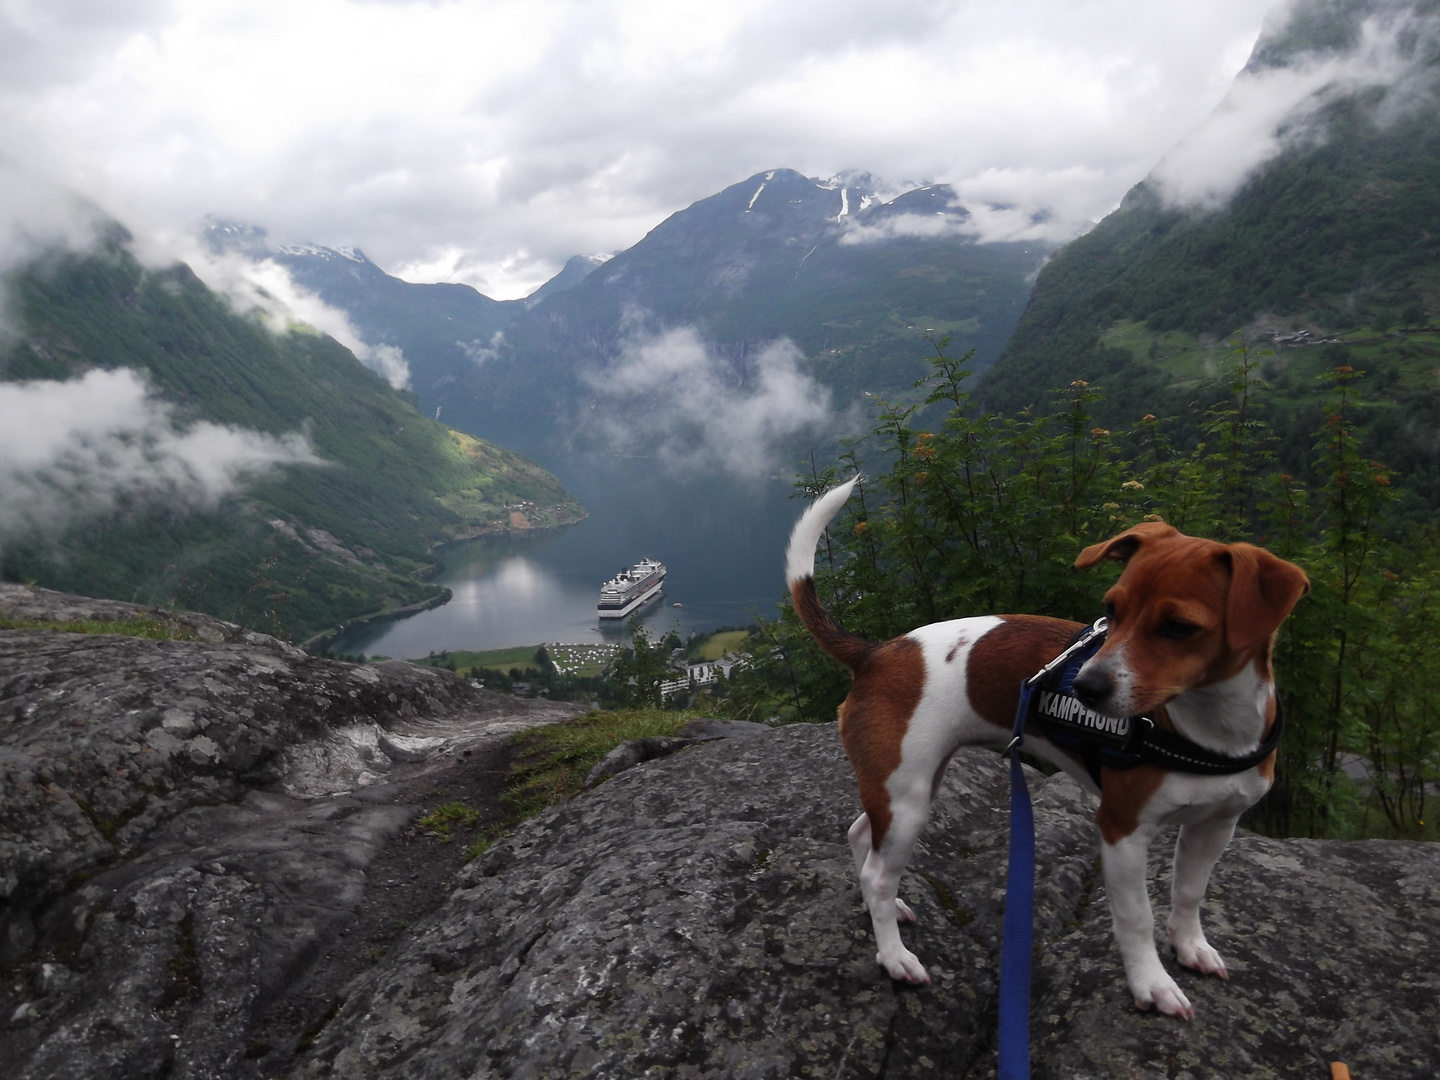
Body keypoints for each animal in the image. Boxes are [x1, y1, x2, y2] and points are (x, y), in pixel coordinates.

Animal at [794, 478, 1313, 1019]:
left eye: (1180, 627)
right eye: (1111, 610)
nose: (1086, 686)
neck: (1209, 727)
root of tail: (875, 652)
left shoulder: (1215, 826)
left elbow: (1190, 893)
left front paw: (1191, 946)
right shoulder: (1122, 830)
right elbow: (1137, 917)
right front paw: (1151, 984)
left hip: (905, 787)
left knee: (862, 839)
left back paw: (886, 911)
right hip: (908, 800)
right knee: (877, 873)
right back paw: (894, 956)